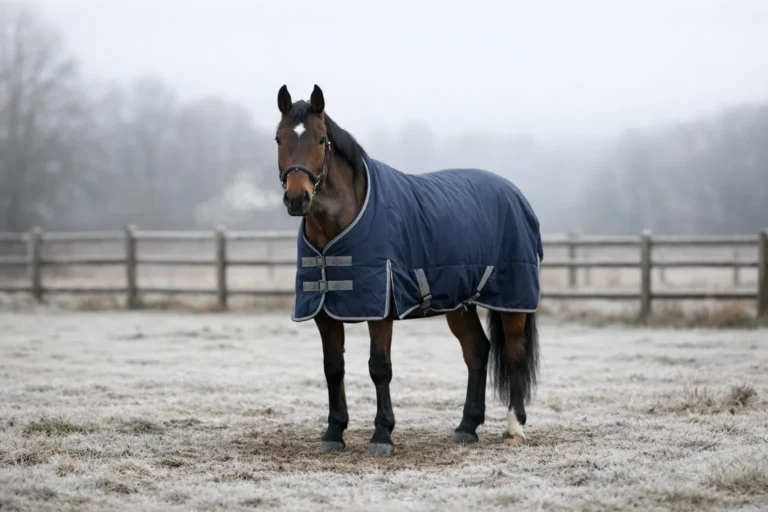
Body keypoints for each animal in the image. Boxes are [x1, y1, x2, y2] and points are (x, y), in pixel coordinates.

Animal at [275, 84, 543, 456]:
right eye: (278, 138)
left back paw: (514, 427)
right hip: (459, 304)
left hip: (512, 298)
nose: (297, 198)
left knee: (515, 355)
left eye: (320, 139)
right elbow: (333, 368)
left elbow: (379, 368)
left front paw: (382, 435)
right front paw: (333, 433)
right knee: (477, 352)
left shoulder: (381, 310)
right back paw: (467, 426)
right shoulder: (324, 311)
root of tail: (515, 194)